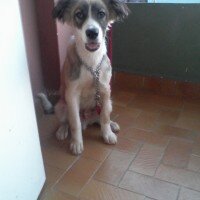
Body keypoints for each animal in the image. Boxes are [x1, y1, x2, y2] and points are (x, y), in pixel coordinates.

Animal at [38, 0, 130, 155]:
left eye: (101, 13)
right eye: (79, 14)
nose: (92, 32)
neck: (91, 62)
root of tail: (87, 119)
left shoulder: (105, 91)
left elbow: (105, 117)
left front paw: (107, 133)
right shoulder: (71, 94)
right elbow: (74, 123)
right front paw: (76, 143)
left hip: (109, 102)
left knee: (101, 117)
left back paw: (112, 125)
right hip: (61, 107)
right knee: (66, 121)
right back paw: (62, 131)